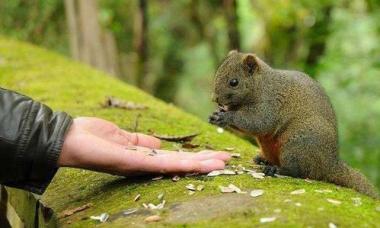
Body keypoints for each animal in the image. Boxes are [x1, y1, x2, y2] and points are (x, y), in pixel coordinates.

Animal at [209, 50, 378, 198]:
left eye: (234, 82)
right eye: (217, 73)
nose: (215, 99)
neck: (262, 85)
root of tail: (330, 164)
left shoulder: (270, 105)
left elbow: (258, 123)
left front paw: (226, 117)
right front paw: (216, 115)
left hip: (296, 145)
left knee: (298, 172)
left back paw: (275, 169)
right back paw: (263, 160)